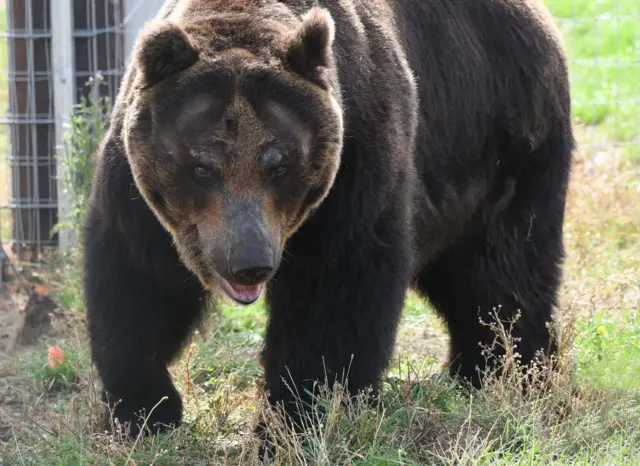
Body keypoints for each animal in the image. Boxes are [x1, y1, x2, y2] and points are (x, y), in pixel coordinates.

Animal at [84, 0, 576, 436]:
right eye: (202, 165)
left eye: (280, 163)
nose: (249, 262)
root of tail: (541, 19)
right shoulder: (139, 197)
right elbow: (137, 285)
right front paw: (144, 409)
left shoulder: (354, 169)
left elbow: (335, 298)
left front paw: (296, 417)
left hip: (503, 144)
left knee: (503, 273)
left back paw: (512, 372)